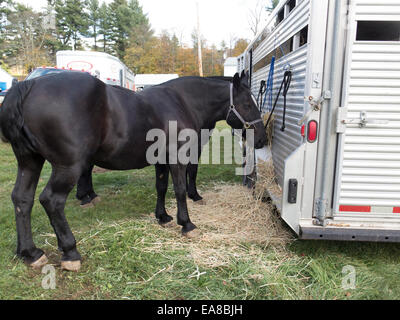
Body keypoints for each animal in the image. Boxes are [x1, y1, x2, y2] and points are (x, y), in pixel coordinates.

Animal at [0, 71, 268, 272]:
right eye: (247, 103)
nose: (262, 139)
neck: (181, 102)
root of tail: (29, 85)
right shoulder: (178, 158)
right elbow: (180, 190)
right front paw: (186, 224)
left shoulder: (162, 161)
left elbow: (161, 187)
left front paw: (163, 217)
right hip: (68, 167)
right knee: (51, 201)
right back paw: (70, 251)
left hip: (30, 162)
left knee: (22, 199)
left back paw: (30, 253)